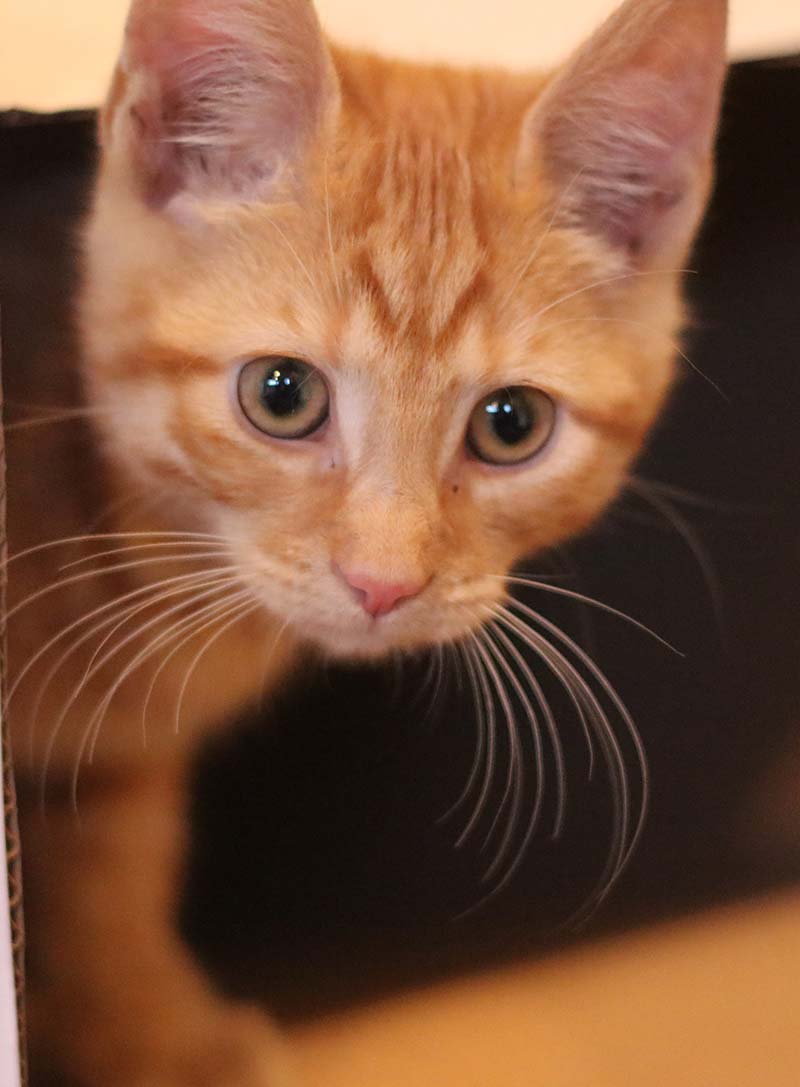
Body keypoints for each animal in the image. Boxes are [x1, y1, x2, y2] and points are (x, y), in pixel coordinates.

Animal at [9, 0, 726, 1082]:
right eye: (281, 395)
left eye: (511, 424)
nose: (383, 583)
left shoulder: (106, 771)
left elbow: (107, 897)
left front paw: (153, 1035)